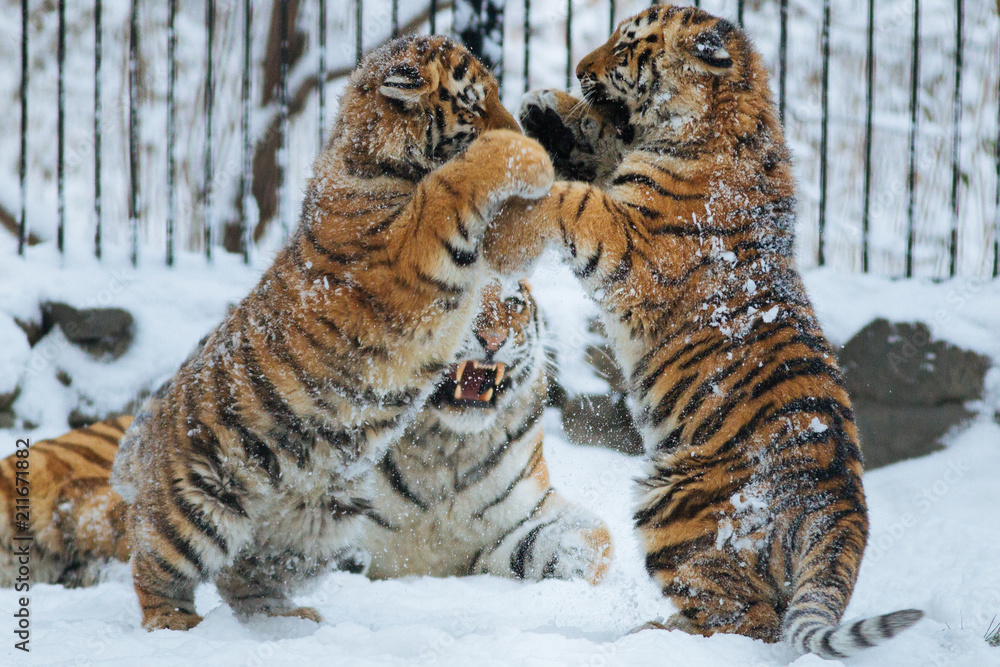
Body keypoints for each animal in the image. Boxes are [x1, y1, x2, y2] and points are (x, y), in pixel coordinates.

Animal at [108, 35, 554, 631]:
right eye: (474, 102)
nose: (523, 128)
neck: (375, 158)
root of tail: (143, 438)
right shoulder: (403, 255)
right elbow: (454, 182)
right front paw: (528, 155)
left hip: (317, 528)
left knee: (244, 577)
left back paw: (284, 621)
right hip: (196, 506)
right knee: (156, 567)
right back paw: (178, 628)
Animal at [483, 5, 923, 658]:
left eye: (625, 47)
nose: (579, 68)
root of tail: (843, 510)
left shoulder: (630, 238)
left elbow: (575, 199)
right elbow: (601, 148)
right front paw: (547, 109)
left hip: (673, 503)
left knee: (746, 623)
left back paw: (647, 639)